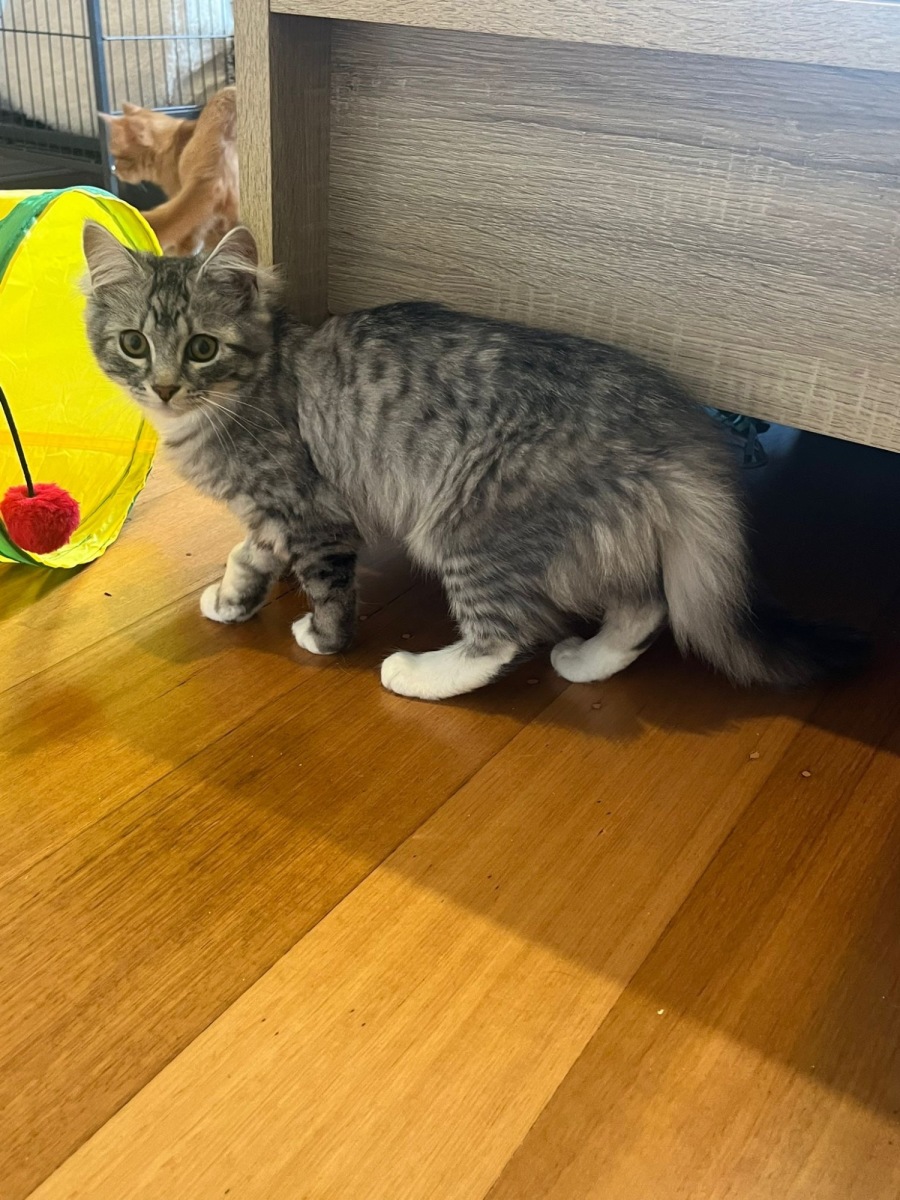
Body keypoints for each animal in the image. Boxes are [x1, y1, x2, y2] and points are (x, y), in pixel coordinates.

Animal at [81, 222, 867, 702]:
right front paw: (230, 600)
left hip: (468, 525)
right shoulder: (274, 516)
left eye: (201, 348)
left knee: (505, 636)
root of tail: (674, 422)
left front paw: (324, 641)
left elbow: (327, 592)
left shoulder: (314, 514)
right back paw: (587, 663)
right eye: (133, 344)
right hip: (591, 532)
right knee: (644, 604)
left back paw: (415, 673)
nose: (164, 386)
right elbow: (247, 555)